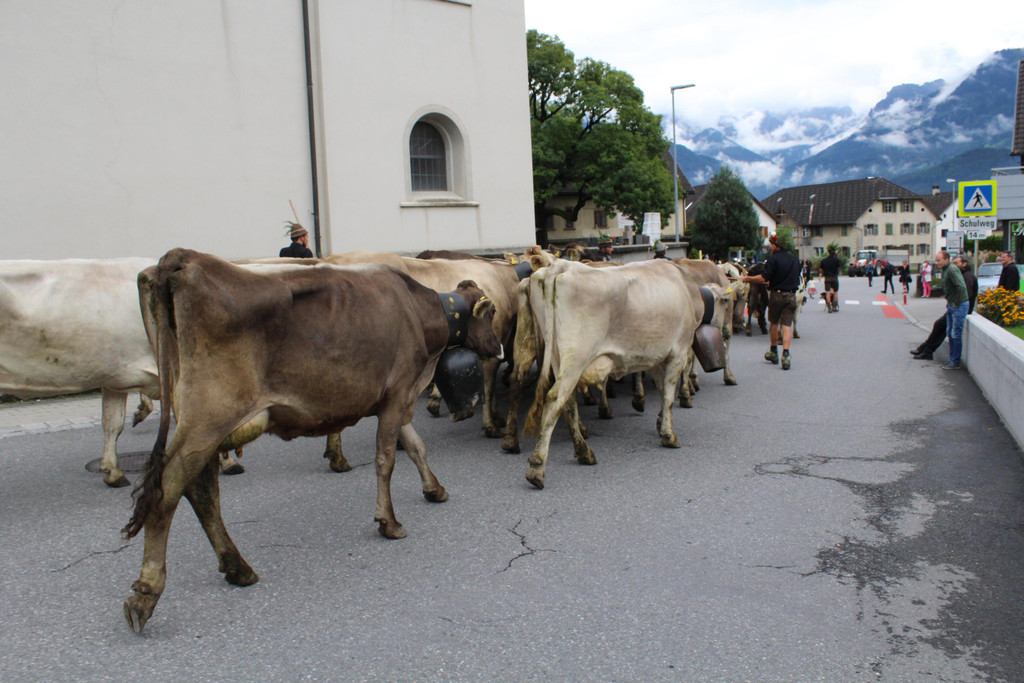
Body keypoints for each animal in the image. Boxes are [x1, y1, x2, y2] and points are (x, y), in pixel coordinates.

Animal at [121, 249, 500, 632]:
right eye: (492, 313)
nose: (499, 350)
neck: (418, 311)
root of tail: (183, 258)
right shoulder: (397, 393)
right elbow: (386, 459)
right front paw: (388, 521)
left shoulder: (393, 399)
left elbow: (416, 446)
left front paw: (434, 489)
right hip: (208, 417)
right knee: (168, 492)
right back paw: (146, 592)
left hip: (198, 420)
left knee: (201, 490)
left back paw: (237, 567)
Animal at [514, 259, 731, 489]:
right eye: (725, 304)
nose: (726, 329)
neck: (687, 289)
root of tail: (560, 265)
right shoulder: (678, 351)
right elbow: (669, 396)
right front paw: (668, 434)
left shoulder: (654, 356)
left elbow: (662, 389)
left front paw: (659, 421)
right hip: (577, 356)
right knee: (555, 400)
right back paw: (537, 468)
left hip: (558, 356)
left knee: (568, 403)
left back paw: (584, 453)